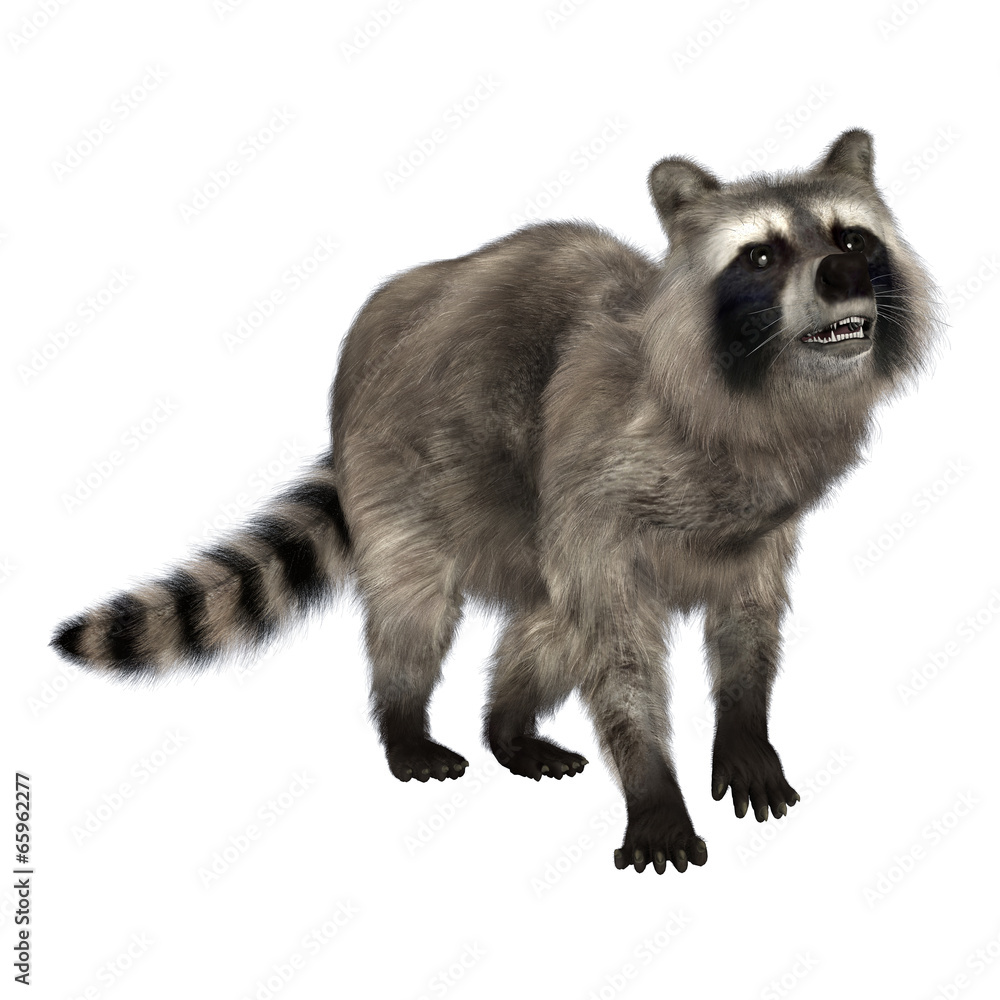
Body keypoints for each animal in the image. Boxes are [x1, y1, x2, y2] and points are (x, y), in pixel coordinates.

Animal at [53, 129, 938, 874]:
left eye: (851, 238)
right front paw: (652, 781)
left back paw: (506, 725)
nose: (843, 275)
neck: (764, 400)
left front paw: (747, 726)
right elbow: (618, 650)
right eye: (760, 254)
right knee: (418, 609)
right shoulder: (598, 470)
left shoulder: (761, 522)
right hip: (405, 471)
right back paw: (405, 719)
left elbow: (747, 620)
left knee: (546, 625)